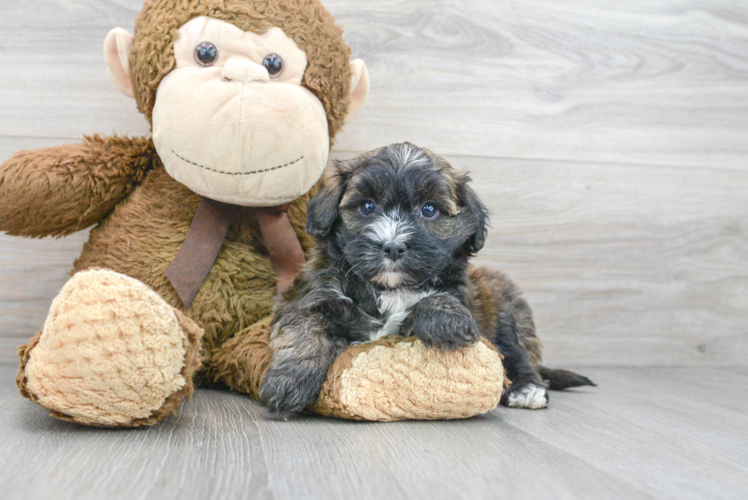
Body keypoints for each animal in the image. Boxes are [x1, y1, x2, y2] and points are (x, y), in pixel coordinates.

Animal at [260, 143, 592, 416]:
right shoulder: (309, 297)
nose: (392, 246)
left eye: (429, 210)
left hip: (504, 306)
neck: (389, 288)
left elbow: (436, 299)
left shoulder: (457, 296)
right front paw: (288, 381)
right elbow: (304, 330)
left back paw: (527, 389)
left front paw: (447, 321)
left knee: (516, 353)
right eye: (367, 207)